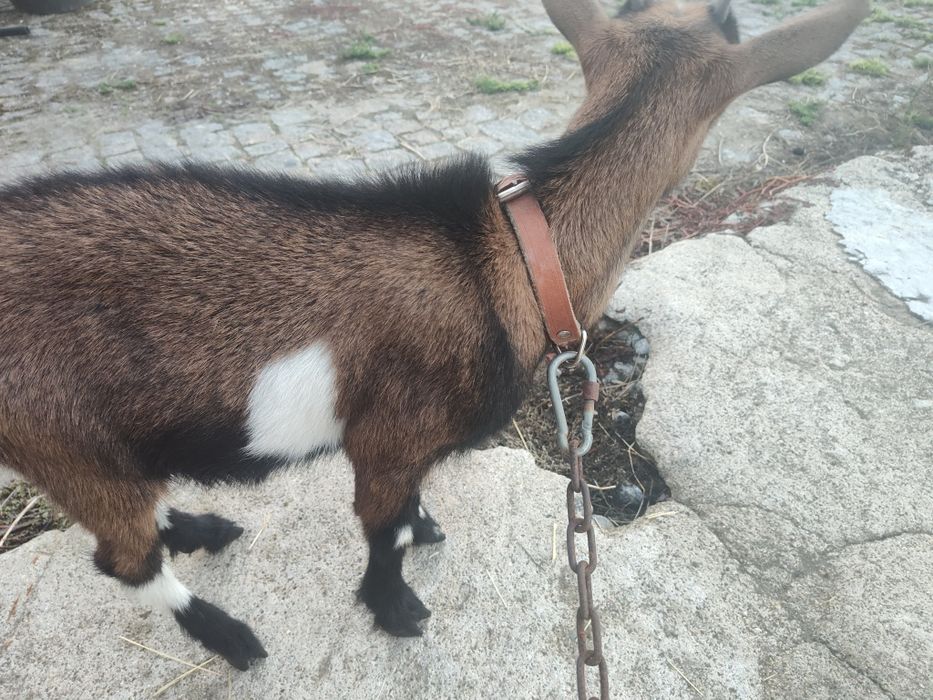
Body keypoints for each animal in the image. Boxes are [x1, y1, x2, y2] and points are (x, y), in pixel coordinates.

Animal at [0, 0, 868, 671]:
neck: (510, 258)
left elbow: (410, 506)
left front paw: (426, 529)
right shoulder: (390, 436)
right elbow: (380, 530)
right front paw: (396, 608)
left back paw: (200, 528)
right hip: (58, 435)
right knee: (120, 559)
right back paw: (230, 635)